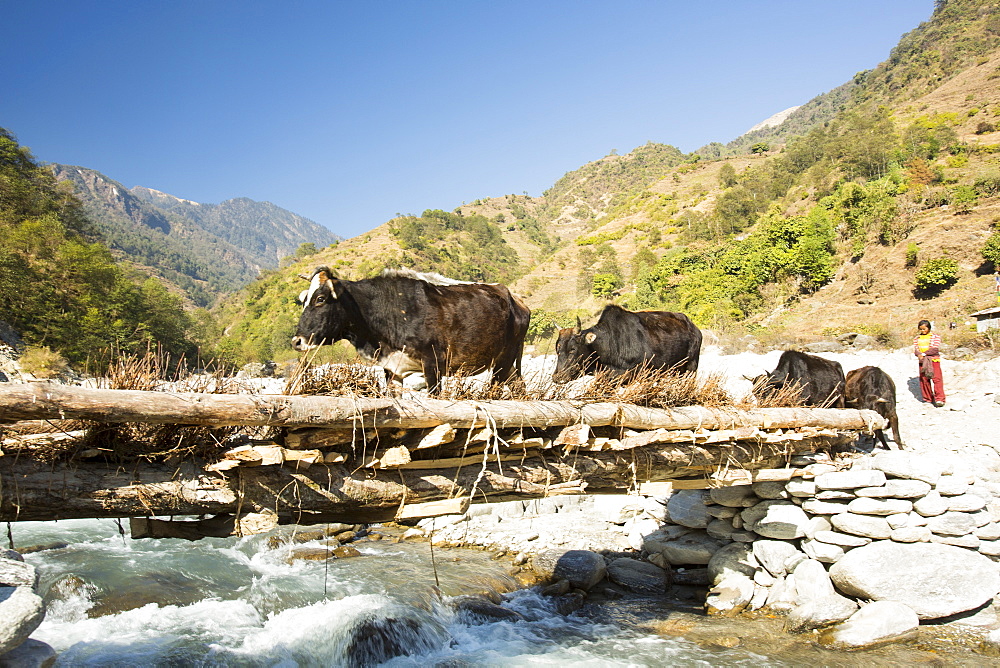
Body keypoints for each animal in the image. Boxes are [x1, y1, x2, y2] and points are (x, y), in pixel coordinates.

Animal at [292, 264, 532, 392]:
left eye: (320, 299)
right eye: (303, 300)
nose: (297, 341)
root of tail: (514, 297)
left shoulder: (433, 363)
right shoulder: (392, 369)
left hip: (503, 360)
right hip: (506, 363)